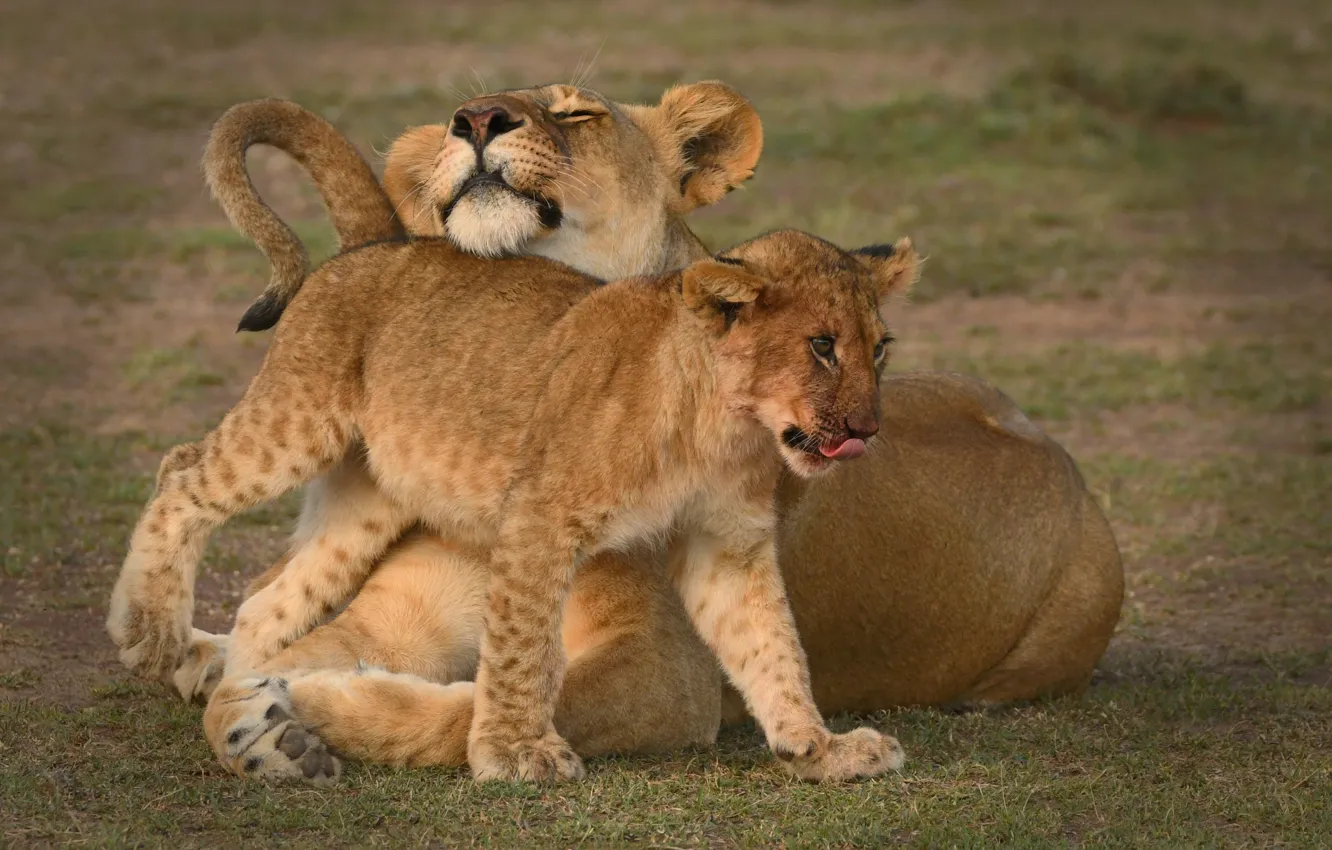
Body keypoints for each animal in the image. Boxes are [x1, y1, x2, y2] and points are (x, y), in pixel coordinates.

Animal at [117, 225, 920, 785]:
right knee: (181, 473)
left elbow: (772, 646)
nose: (868, 429)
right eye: (821, 345)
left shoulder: (728, 544)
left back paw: (249, 702)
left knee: (268, 601)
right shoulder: (541, 515)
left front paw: (818, 748)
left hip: (364, 499)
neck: (726, 427)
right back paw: (149, 633)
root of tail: (356, 254)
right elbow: (522, 648)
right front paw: (515, 753)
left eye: (879, 348)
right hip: (297, 421)